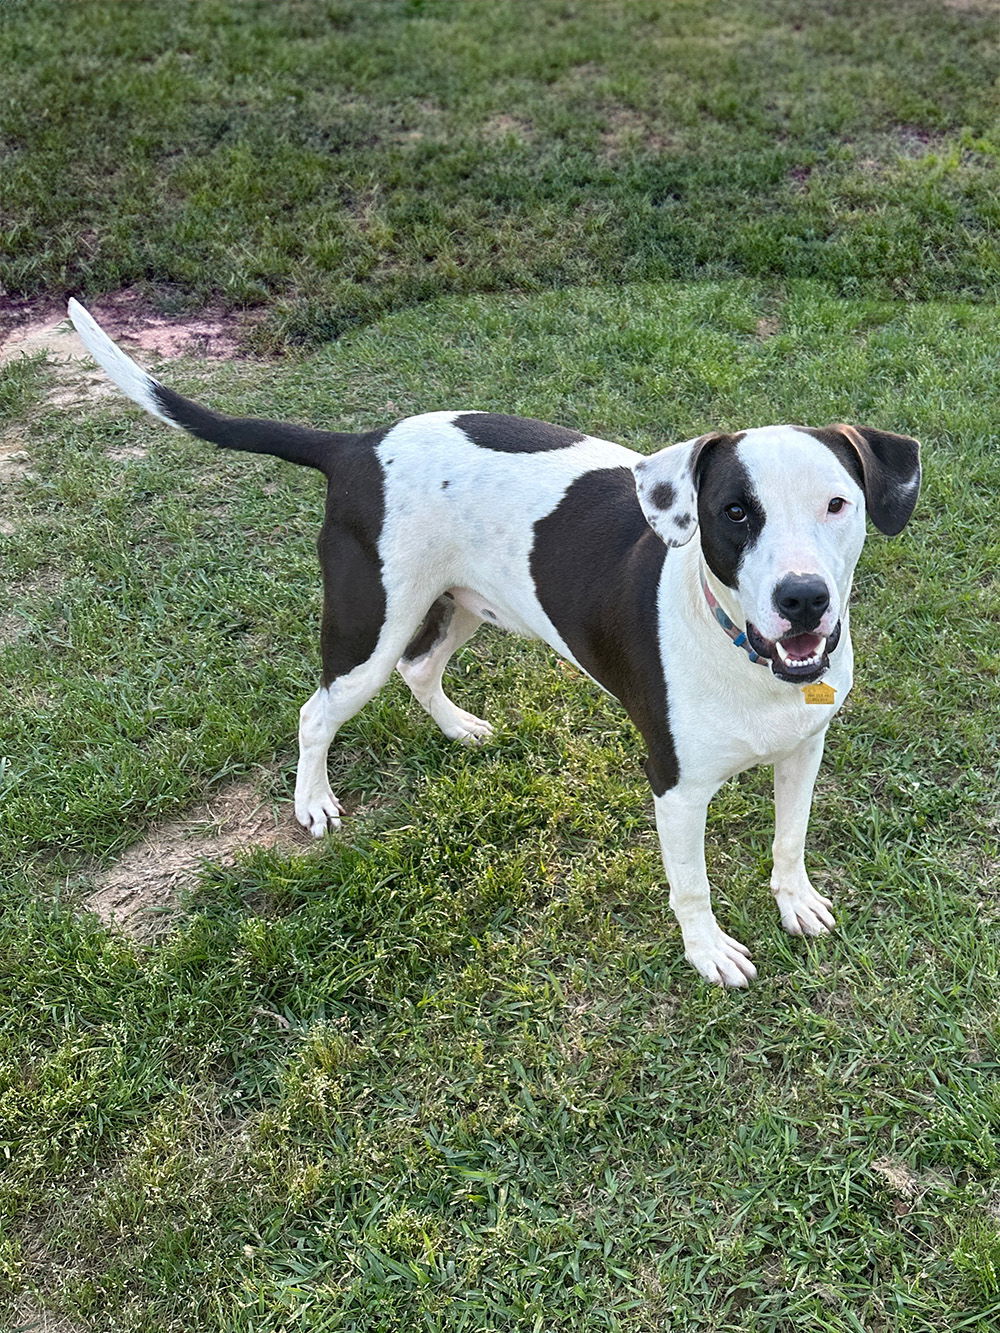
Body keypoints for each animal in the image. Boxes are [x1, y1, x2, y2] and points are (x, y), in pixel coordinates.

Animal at [64, 305, 922, 991]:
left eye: (837, 503)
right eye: (735, 512)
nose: (803, 598)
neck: (745, 652)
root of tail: (355, 445)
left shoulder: (804, 747)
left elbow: (790, 837)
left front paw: (795, 901)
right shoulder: (675, 788)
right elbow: (692, 886)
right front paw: (708, 951)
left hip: (460, 606)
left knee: (420, 667)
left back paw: (460, 728)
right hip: (368, 627)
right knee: (318, 710)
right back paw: (313, 801)